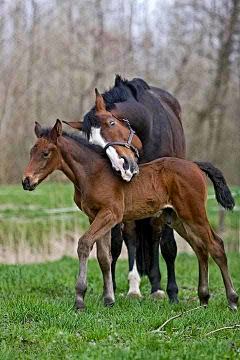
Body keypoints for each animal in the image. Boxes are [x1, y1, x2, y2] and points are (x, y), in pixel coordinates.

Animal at [22, 119, 238, 310]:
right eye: (31, 152)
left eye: (45, 153)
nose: (26, 181)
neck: (92, 174)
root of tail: (194, 165)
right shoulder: (95, 216)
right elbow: (104, 257)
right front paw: (109, 300)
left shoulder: (110, 214)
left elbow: (84, 244)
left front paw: (80, 299)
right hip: (178, 218)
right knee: (200, 248)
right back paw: (204, 299)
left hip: (195, 214)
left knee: (216, 245)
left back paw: (232, 300)